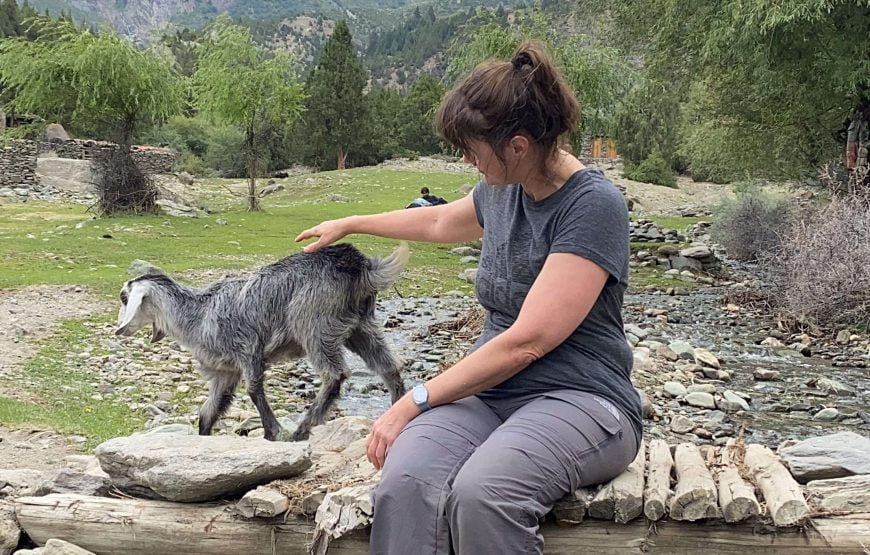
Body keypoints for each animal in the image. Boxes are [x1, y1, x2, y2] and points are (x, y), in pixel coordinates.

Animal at [114, 243, 410, 444]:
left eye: (124, 297)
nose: (119, 331)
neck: (199, 314)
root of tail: (360, 268)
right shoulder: (225, 372)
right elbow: (209, 411)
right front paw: (204, 437)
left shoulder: (248, 349)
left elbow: (254, 390)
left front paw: (272, 431)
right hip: (360, 327)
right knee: (388, 366)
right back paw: (396, 409)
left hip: (314, 323)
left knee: (334, 374)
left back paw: (303, 429)